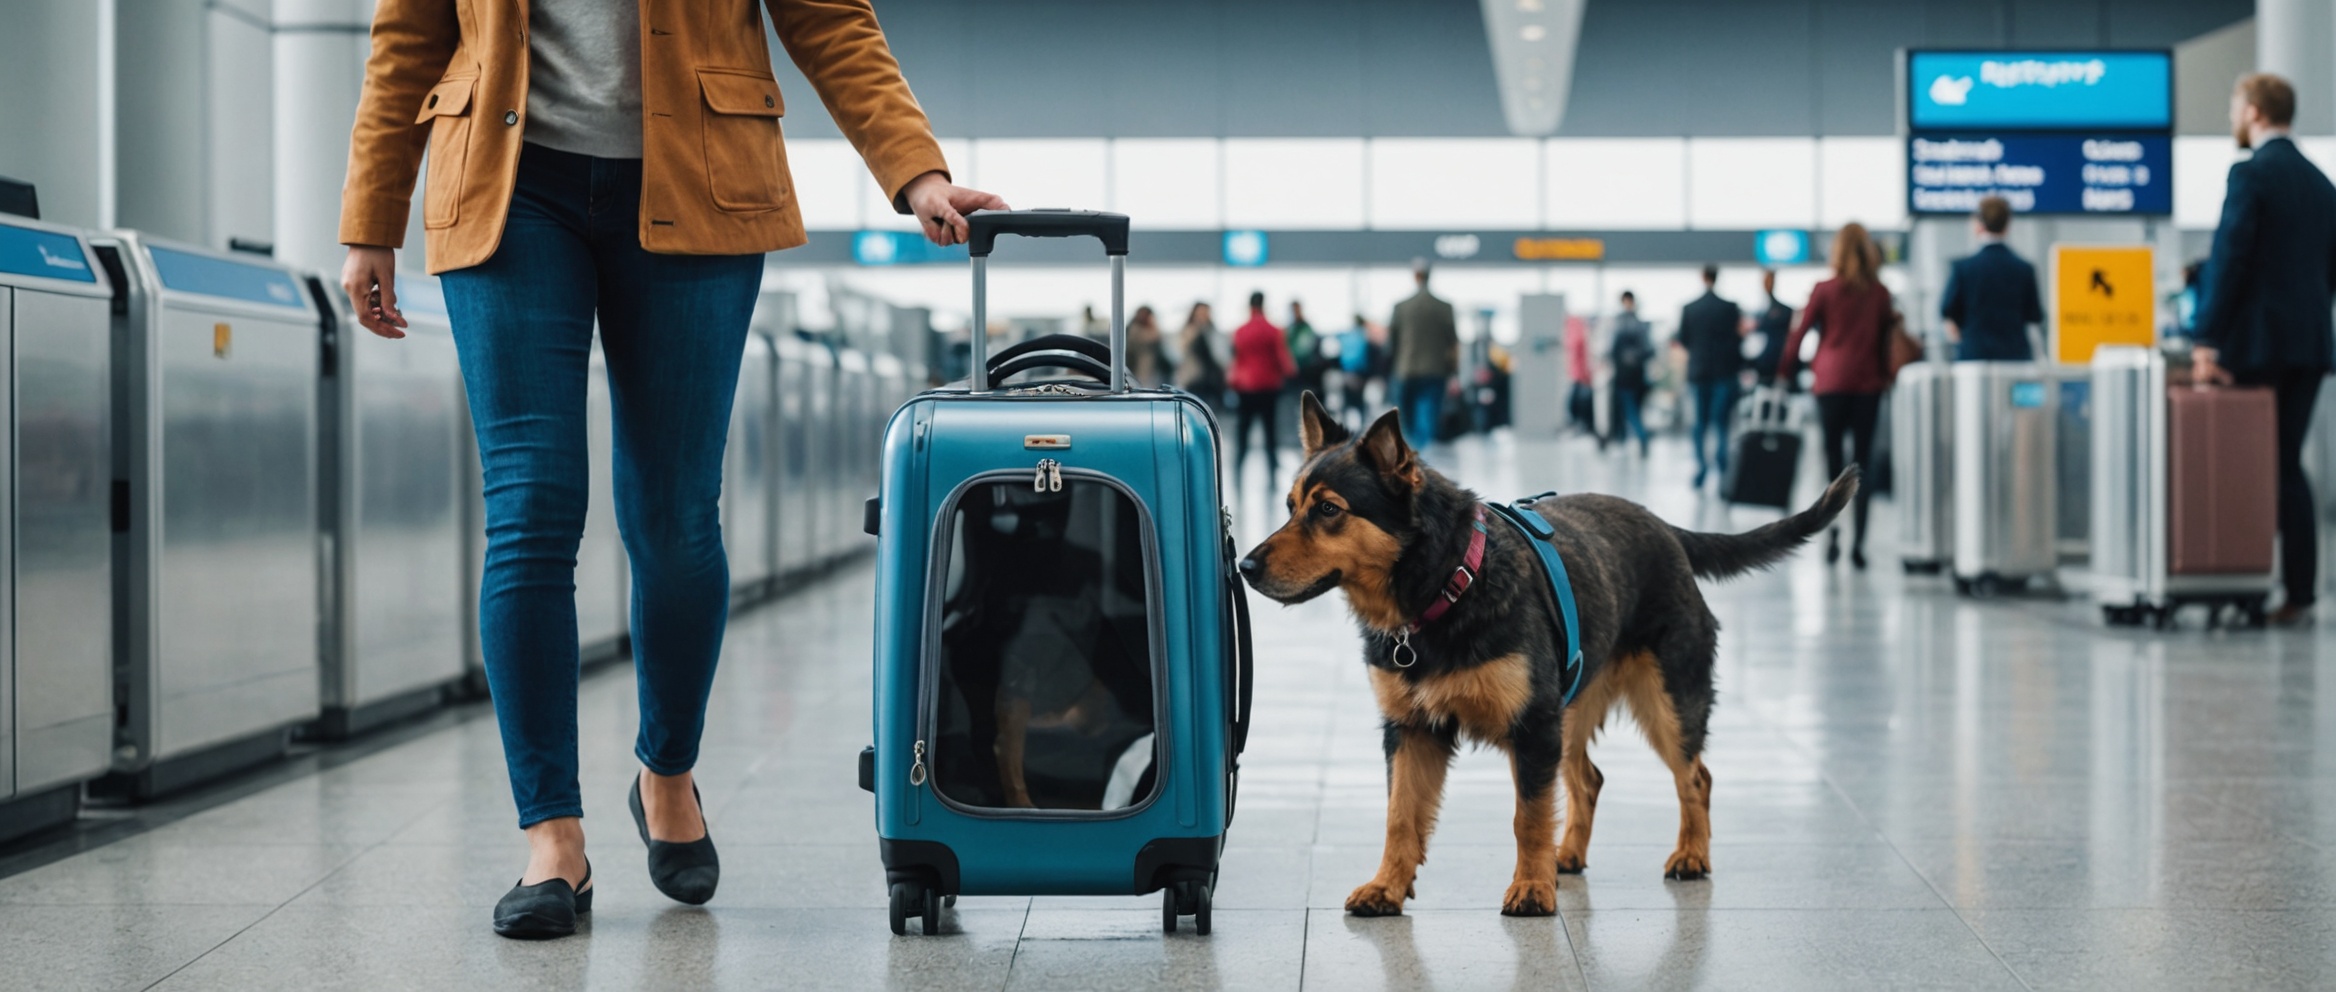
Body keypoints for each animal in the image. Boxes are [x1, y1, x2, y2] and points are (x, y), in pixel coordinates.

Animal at [1233, 392, 1850, 910]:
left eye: (1329, 511)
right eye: (1289, 505)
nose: (1244, 565)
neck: (1449, 585)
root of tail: (1666, 529)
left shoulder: (1531, 728)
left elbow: (1527, 817)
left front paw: (1531, 888)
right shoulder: (1411, 730)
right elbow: (1400, 817)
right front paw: (1387, 885)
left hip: (1667, 701)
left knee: (1695, 777)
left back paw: (1691, 854)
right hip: (1570, 708)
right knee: (1588, 779)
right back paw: (1568, 856)